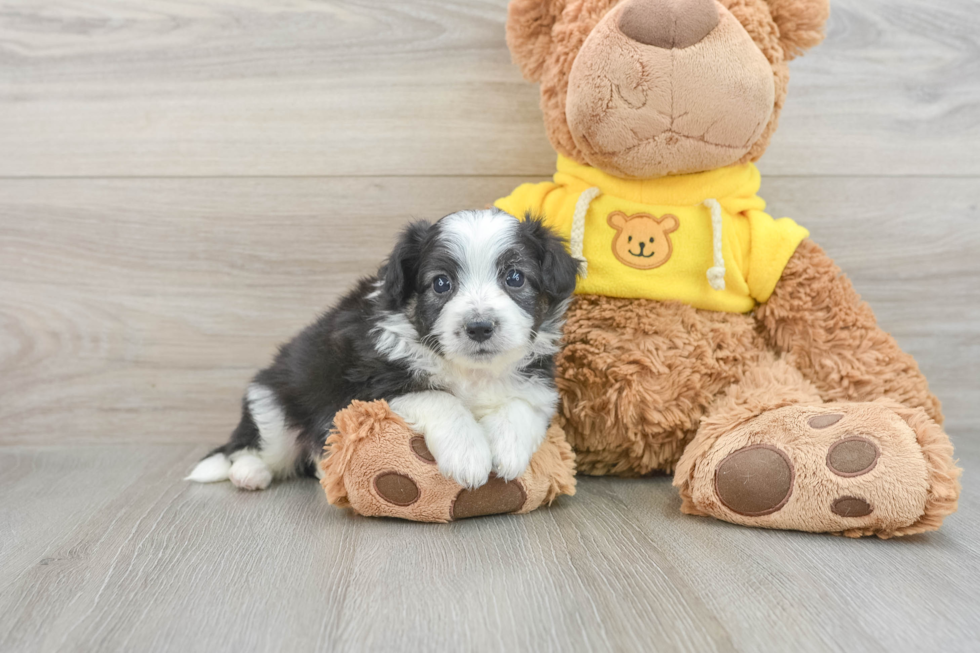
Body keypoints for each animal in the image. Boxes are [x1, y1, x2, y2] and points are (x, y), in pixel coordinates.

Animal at [188, 209, 580, 488]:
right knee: (251, 446)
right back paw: (248, 472)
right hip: (272, 404)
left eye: (515, 277)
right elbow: (442, 398)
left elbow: (521, 406)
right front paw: (468, 455)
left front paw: (508, 451)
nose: (480, 327)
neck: (471, 371)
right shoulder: (370, 384)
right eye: (441, 283)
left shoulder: (538, 384)